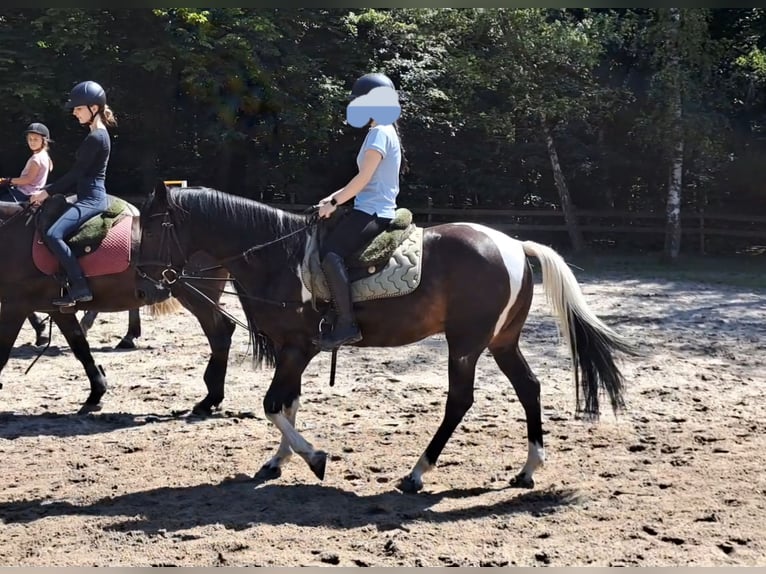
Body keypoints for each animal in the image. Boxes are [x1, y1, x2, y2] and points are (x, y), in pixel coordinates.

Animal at [0, 200, 236, 416]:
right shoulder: (56, 309)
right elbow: (80, 346)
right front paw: (96, 393)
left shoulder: (15, 305)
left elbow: (3, 350)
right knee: (225, 330)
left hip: (197, 298)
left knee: (220, 336)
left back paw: (209, 399)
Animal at [140, 186, 640, 496]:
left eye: (152, 225)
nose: (147, 282)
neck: (278, 256)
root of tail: (514, 245)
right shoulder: (292, 348)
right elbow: (288, 404)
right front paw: (277, 463)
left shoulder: (298, 347)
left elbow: (273, 405)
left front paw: (315, 458)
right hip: (502, 342)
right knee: (529, 388)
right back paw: (527, 469)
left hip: (465, 344)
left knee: (460, 400)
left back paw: (417, 474)